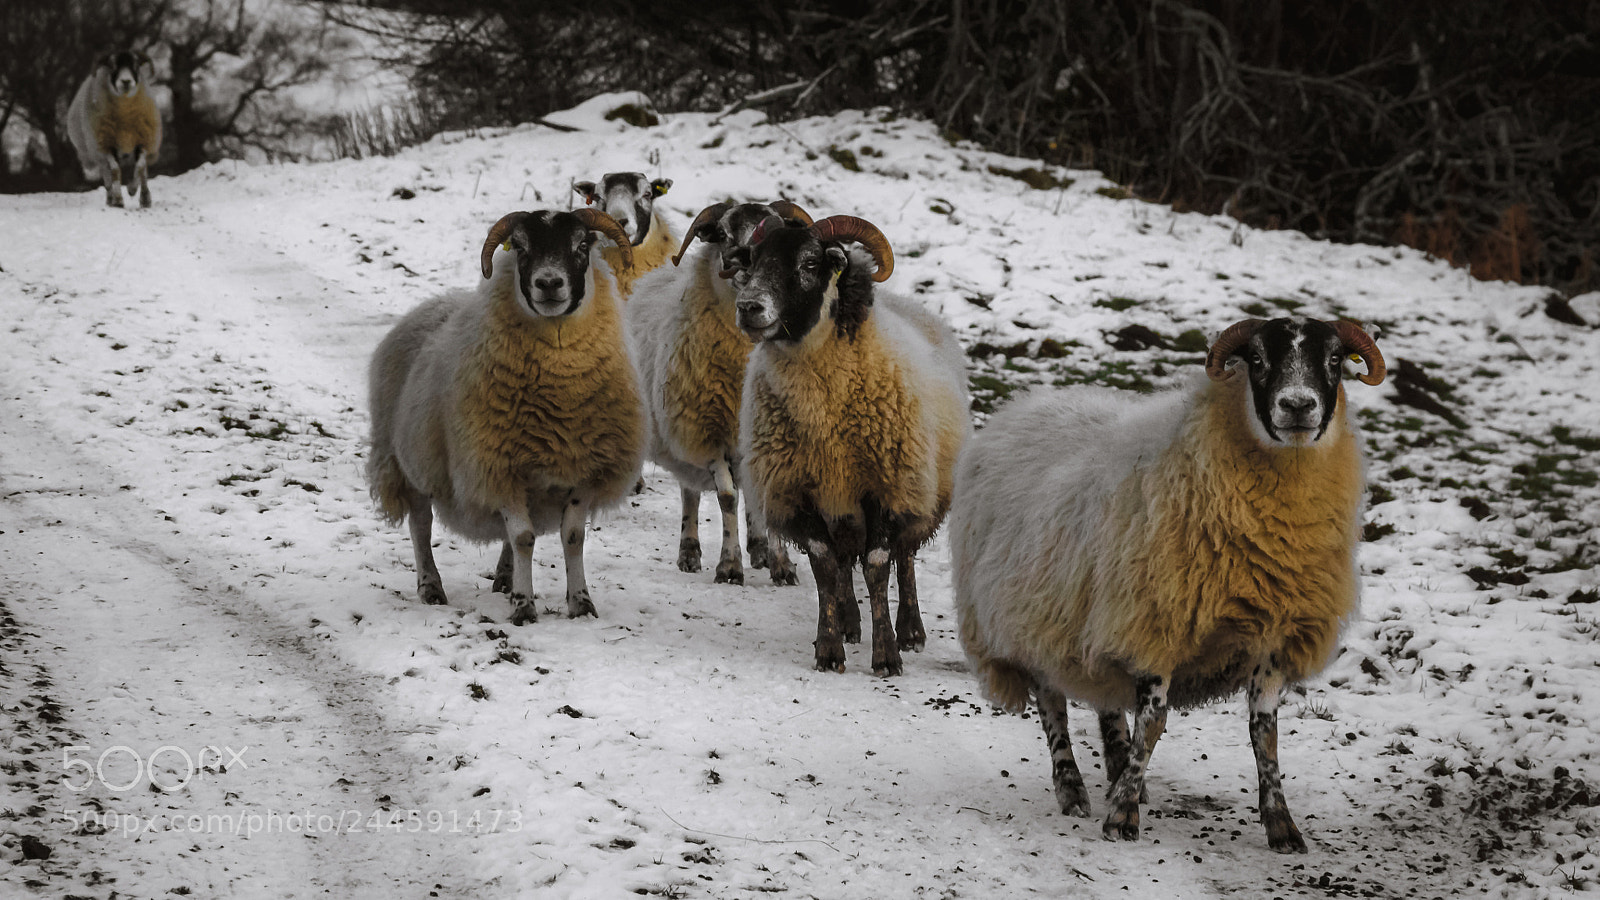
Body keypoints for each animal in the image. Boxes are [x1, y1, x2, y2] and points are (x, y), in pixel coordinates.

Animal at [67, 50, 162, 209]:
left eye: (136, 64)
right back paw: (110, 198)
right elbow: (115, 170)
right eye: (112, 65)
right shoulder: (106, 145)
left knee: (143, 172)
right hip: (97, 151)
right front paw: (118, 200)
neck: (125, 116)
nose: (126, 81)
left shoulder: (142, 140)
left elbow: (140, 167)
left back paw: (144, 198)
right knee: (107, 176)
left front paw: (133, 190)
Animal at [367, 208, 644, 625]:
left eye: (582, 245)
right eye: (522, 248)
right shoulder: (500, 466)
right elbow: (523, 537)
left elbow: (571, 538)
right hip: (409, 463)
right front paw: (524, 607)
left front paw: (580, 603)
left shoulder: (581, 470)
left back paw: (504, 577)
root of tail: (432, 303)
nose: (549, 283)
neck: (562, 397)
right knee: (421, 525)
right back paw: (431, 587)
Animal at [625, 199, 815, 586]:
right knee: (690, 491)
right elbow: (726, 498)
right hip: (681, 432)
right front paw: (729, 566)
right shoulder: (709, 431)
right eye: (723, 233)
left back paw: (759, 548)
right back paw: (690, 552)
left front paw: (782, 565)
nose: (743, 263)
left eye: (776, 231)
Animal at [735, 215, 971, 676]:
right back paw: (848, 622)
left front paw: (887, 655)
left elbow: (879, 566)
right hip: (841, 502)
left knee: (905, 556)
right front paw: (829, 648)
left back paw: (911, 630)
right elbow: (825, 566)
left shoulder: (884, 486)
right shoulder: (799, 490)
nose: (748, 307)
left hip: (918, 488)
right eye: (751, 259)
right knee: (845, 562)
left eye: (810, 262)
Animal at [949, 316, 1387, 852]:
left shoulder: (1273, 637)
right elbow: (1153, 724)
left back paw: (1118, 771)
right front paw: (1121, 818)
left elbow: (1264, 733)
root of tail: (1024, 404)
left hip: (1090, 616)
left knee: (1105, 698)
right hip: (1027, 614)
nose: (1298, 406)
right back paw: (1073, 789)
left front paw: (1282, 826)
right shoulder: (1157, 620)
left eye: (1335, 360)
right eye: (1257, 359)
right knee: (1052, 704)